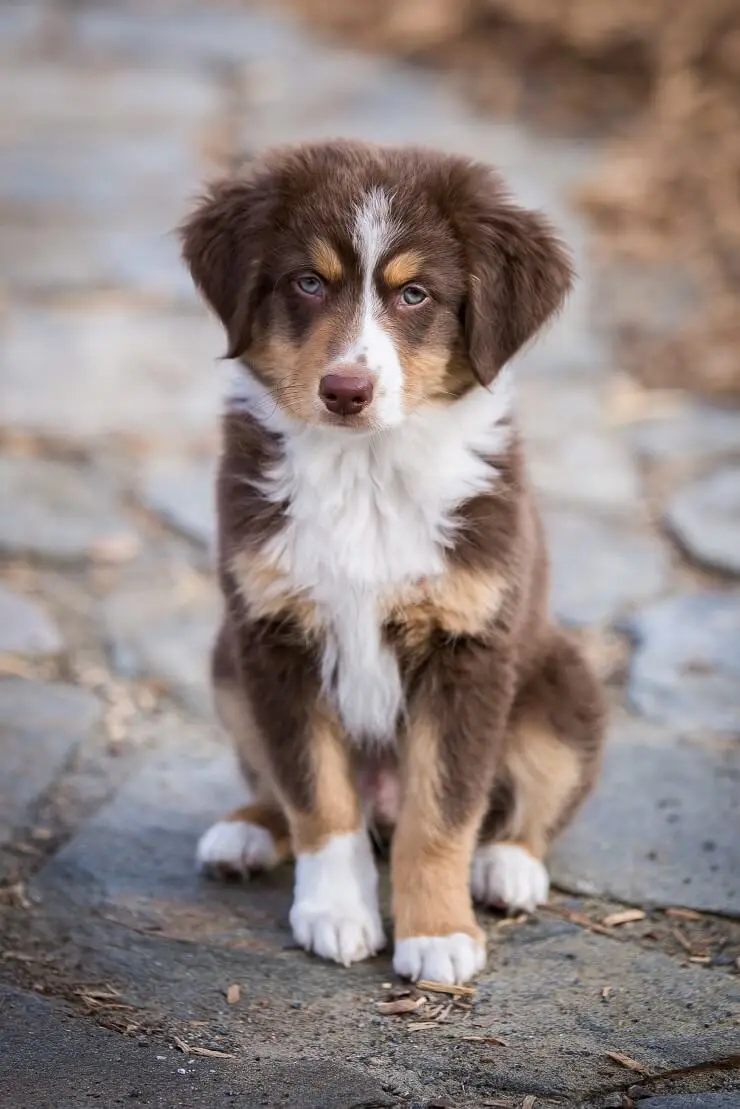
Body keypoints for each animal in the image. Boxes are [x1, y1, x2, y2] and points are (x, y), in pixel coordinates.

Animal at [180, 140, 607, 989]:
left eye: (415, 294)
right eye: (308, 282)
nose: (346, 390)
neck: (366, 469)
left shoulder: (469, 649)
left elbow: (441, 812)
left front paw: (439, 934)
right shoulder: (274, 637)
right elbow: (317, 794)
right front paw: (336, 912)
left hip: (563, 684)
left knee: (531, 802)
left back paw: (508, 867)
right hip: (226, 663)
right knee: (275, 784)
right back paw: (246, 831)